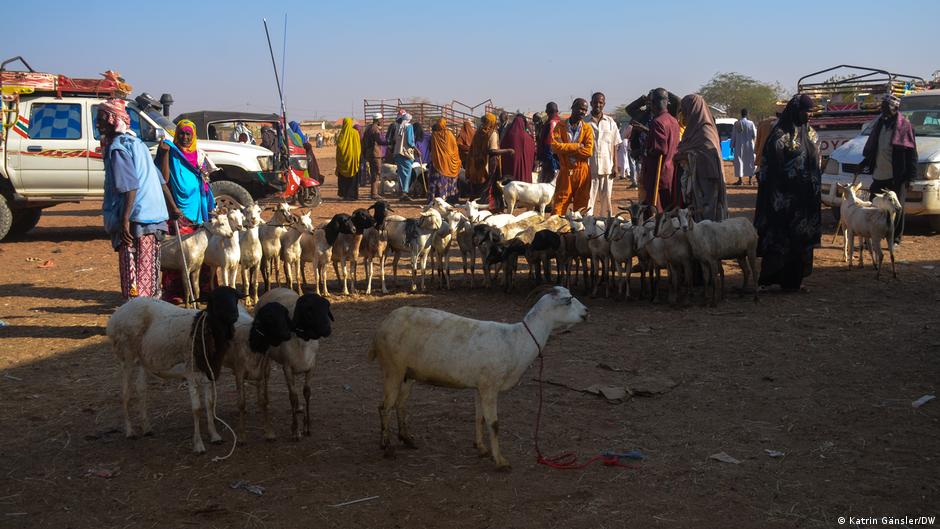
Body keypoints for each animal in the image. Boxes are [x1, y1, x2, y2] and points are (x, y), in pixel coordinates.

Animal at [107, 286, 242, 452]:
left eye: (236, 298)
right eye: (216, 300)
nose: (234, 315)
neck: (204, 329)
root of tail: (117, 314)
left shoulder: (207, 370)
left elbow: (210, 404)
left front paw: (215, 436)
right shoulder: (191, 373)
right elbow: (196, 408)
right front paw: (198, 444)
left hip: (143, 359)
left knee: (141, 390)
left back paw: (146, 428)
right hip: (127, 356)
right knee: (125, 393)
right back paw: (130, 431)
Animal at [370, 286, 584, 468]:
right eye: (568, 301)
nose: (586, 311)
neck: (517, 341)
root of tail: (384, 323)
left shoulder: (479, 387)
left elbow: (479, 418)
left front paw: (481, 449)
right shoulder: (490, 386)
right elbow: (494, 424)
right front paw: (500, 461)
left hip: (408, 373)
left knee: (400, 404)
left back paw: (407, 439)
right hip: (392, 369)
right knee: (384, 407)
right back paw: (387, 447)